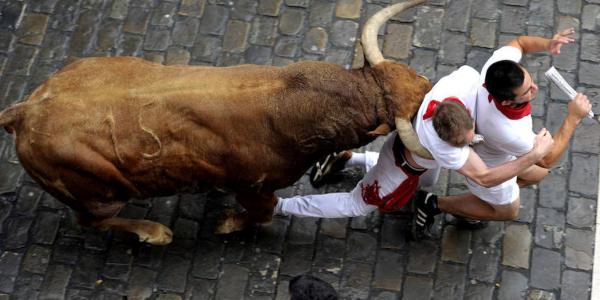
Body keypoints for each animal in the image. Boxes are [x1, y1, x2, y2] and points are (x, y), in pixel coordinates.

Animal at [0, 0, 432, 245]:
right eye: (413, 108)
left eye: (418, 78)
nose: (432, 87)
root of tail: (23, 111)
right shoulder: (254, 187)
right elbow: (263, 212)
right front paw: (226, 225)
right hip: (101, 194)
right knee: (92, 222)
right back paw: (154, 233)